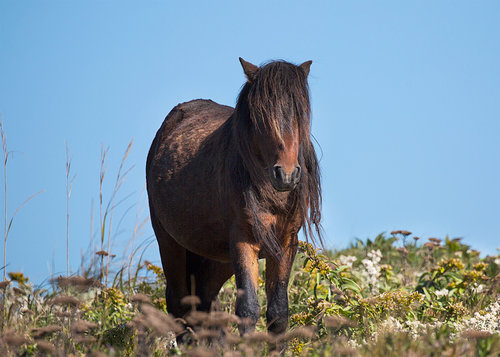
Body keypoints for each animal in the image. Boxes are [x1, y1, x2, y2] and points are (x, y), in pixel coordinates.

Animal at [146, 57, 322, 336]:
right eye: (260, 115)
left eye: (299, 113)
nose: (286, 175)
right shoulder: (243, 241)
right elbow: (248, 309)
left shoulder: (286, 243)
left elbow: (278, 313)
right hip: (170, 243)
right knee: (179, 304)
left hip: (216, 257)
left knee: (204, 300)